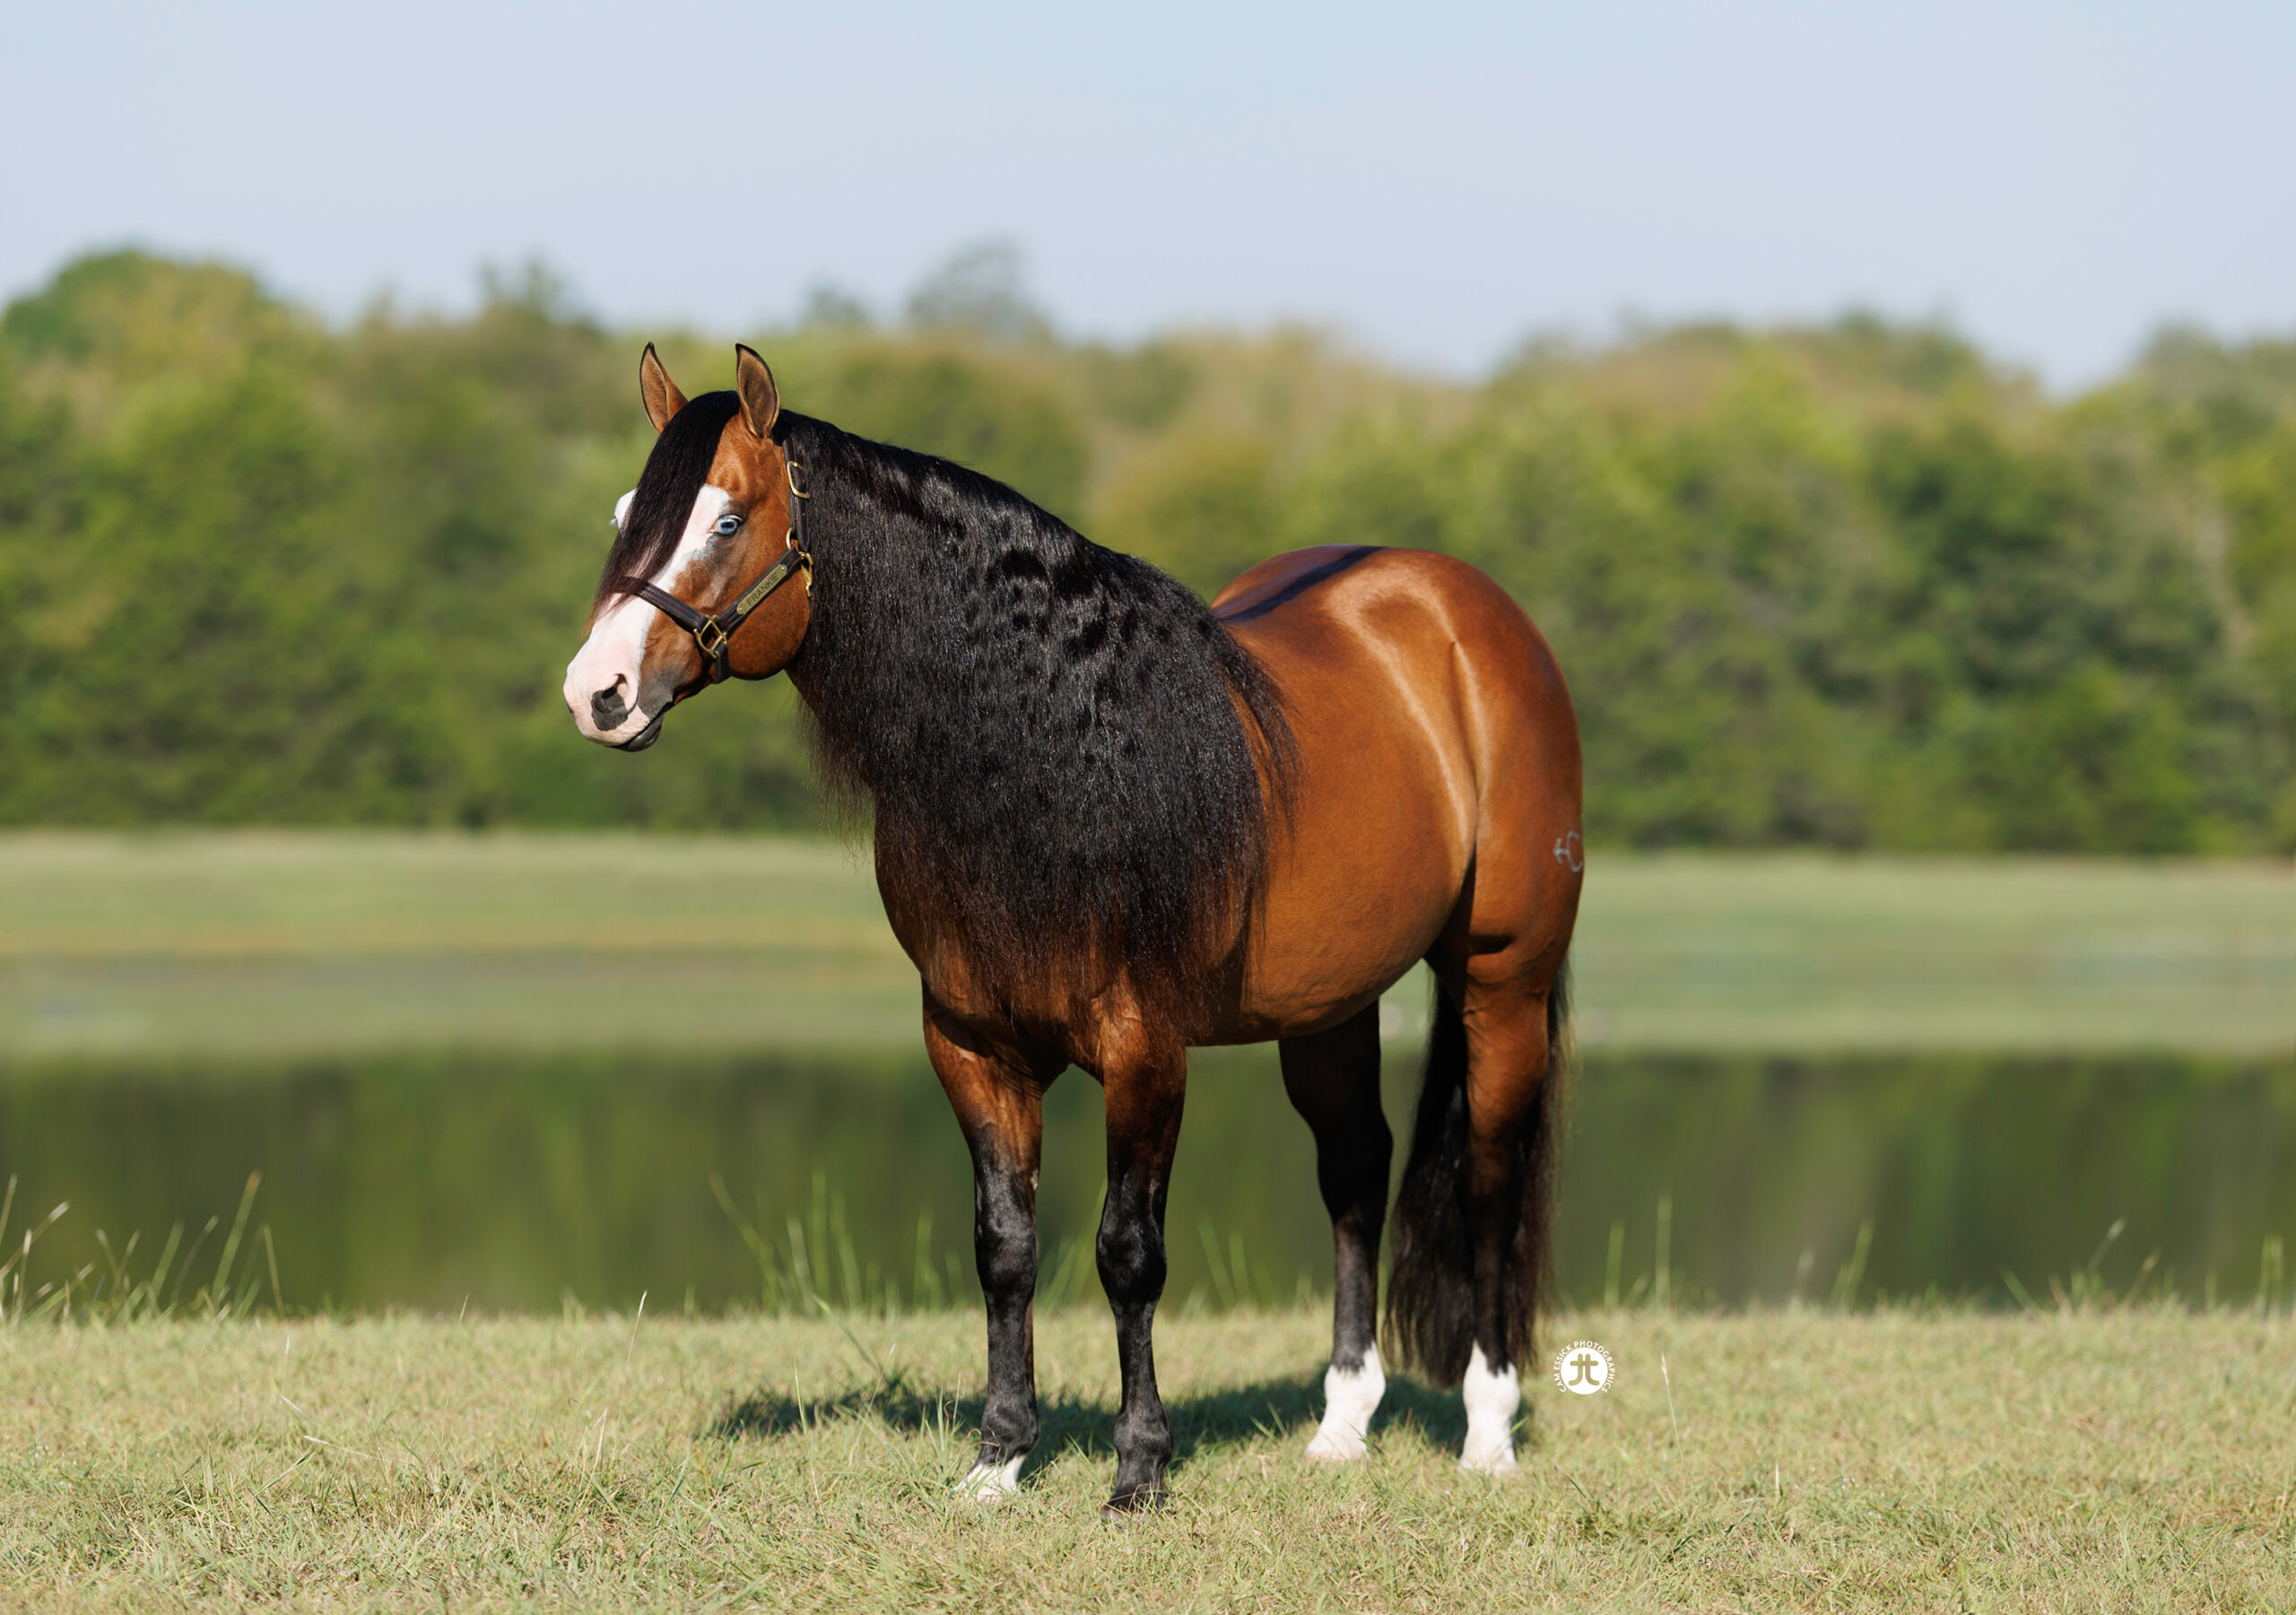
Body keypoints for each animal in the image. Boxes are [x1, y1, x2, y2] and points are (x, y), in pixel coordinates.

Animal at [563, 344, 1583, 1512]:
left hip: (1500, 981)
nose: (595, 692)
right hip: (1330, 1006)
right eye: (629, 511)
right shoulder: (972, 1045)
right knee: (1355, 1169)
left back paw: (1488, 1431)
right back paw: (1340, 1424)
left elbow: (1127, 1252)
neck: (1053, 752)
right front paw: (1000, 1456)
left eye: (727, 521)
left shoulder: (1144, 1051)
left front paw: (1138, 1467)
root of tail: (1464, 609)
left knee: (1490, 1179)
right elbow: (1004, 1246)